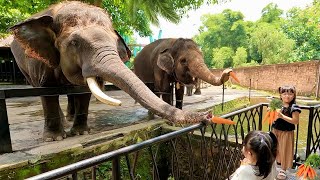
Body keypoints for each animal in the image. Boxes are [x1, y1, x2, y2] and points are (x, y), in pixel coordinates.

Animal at [9, 1, 208, 142]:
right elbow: (47, 90)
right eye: (74, 42)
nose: (208, 115)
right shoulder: (39, 60)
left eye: (114, 41)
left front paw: (81, 134)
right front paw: (55, 138)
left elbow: (84, 91)